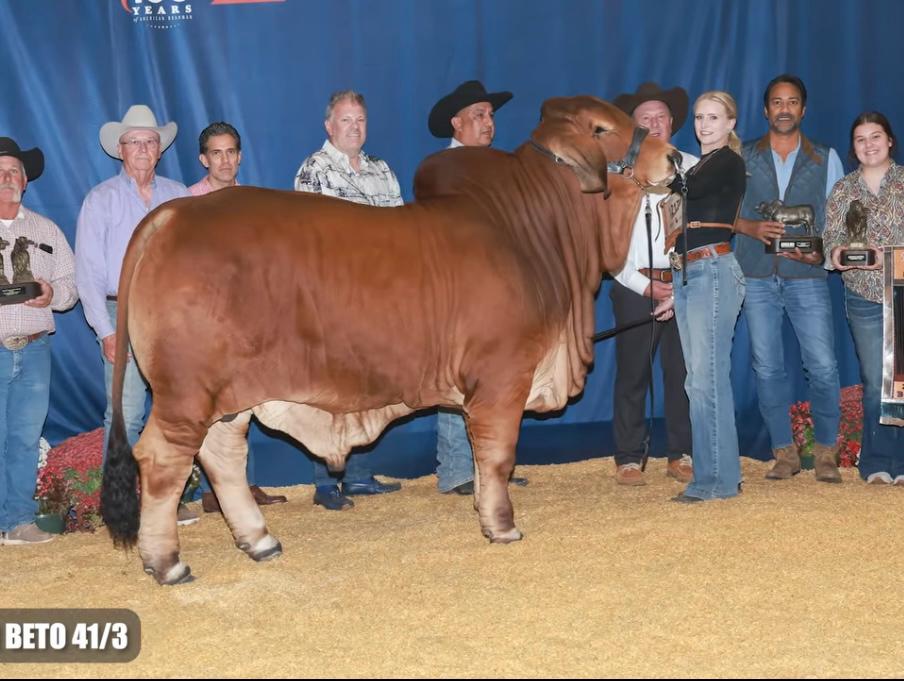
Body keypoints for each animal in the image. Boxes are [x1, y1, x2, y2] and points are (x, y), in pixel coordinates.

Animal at [101, 96, 679, 584]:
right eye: (601, 128)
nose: (673, 156)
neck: (536, 233)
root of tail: (170, 215)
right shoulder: (502, 379)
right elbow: (497, 455)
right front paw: (501, 525)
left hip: (230, 397)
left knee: (222, 456)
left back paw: (259, 540)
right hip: (185, 394)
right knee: (162, 460)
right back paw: (167, 562)